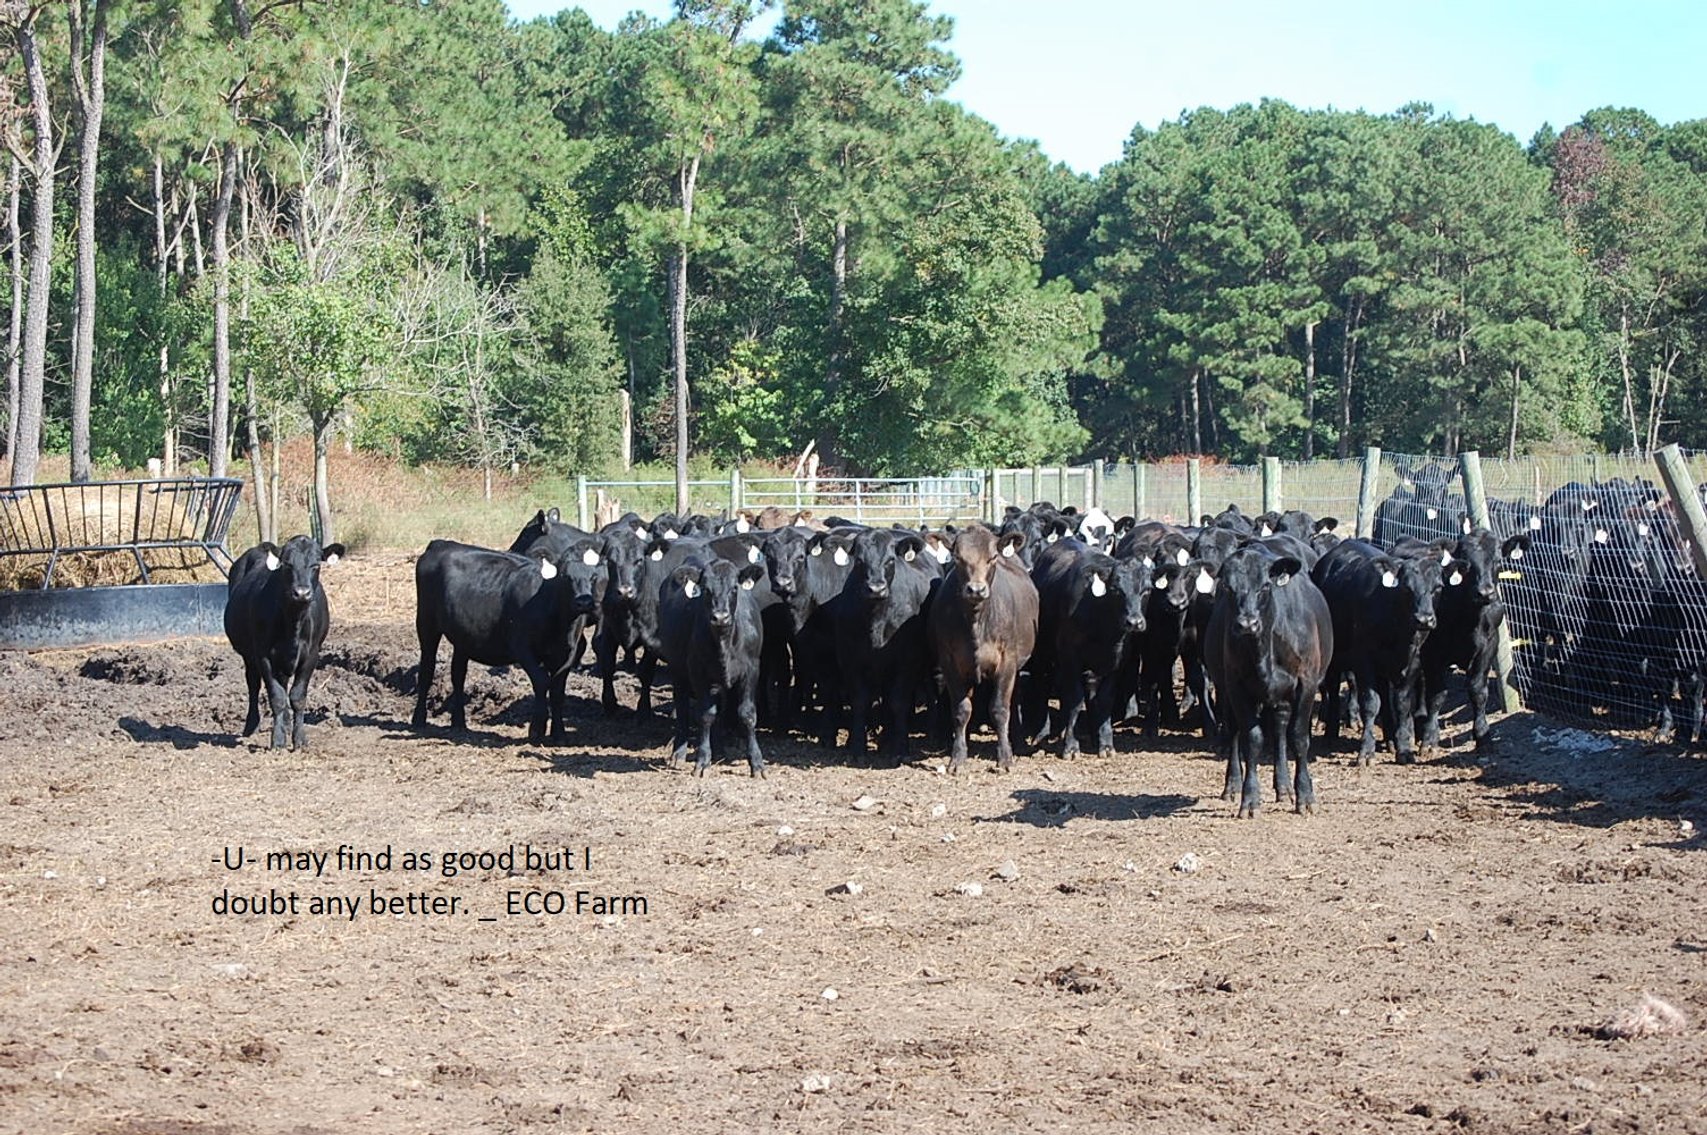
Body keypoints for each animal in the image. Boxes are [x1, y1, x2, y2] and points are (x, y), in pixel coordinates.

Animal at [223, 536, 345, 749]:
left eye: (316, 565)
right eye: (287, 564)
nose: (302, 593)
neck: (293, 622)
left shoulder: (311, 655)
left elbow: (297, 696)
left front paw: (299, 739)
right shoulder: (263, 655)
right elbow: (277, 697)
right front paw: (278, 740)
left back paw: (287, 725)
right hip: (249, 655)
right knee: (253, 684)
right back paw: (252, 726)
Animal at [412, 534, 606, 741]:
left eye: (593, 577)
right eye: (565, 576)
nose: (584, 601)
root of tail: (440, 544)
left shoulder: (568, 653)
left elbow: (557, 690)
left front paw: (559, 732)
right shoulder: (523, 649)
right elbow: (542, 681)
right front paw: (537, 728)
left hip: (462, 636)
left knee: (458, 675)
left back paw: (459, 722)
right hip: (426, 624)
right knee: (427, 669)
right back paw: (418, 719)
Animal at [655, 556, 768, 777]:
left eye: (735, 588)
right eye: (706, 589)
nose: (720, 617)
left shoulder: (752, 669)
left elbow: (747, 714)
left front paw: (757, 764)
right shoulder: (698, 672)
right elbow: (706, 715)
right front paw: (702, 761)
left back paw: (720, 748)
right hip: (678, 669)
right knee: (682, 706)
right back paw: (679, 754)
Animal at [928, 526, 1039, 774]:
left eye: (993, 557)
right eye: (957, 557)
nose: (976, 589)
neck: (977, 621)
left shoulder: (1007, 662)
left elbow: (999, 709)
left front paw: (1004, 757)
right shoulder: (950, 662)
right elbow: (961, 710)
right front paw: (957, 757)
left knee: (1013, 700)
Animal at [1202, 544, 1334, 817]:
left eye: (1264, 586)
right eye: (1227, 586)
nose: (1247, 623)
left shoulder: (1307, 683)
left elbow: (1298, 737)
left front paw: (1305, 796)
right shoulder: (1236, 686)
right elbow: (1252, 739)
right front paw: (1250, 799)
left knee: (1281, 729)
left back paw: (1284, 787)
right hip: (1224, 688)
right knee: (1233, 731)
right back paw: (1232, 786)